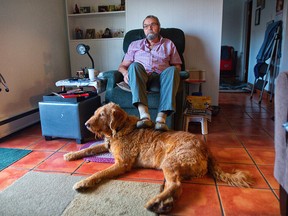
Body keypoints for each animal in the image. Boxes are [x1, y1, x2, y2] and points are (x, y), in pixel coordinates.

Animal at [64, 102, 253, 213]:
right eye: (96, 113)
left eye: (102, 114)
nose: (86, 124)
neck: (119, 129)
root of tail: (205, 146)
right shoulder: (106, 146)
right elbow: (90, 149)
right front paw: (72, 154)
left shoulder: (122, 163)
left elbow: (99, 173)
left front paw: (83, 182)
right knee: (176, 188)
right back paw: (164, 204)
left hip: (169, 162)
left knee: (176, 185)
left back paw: (154, 201)